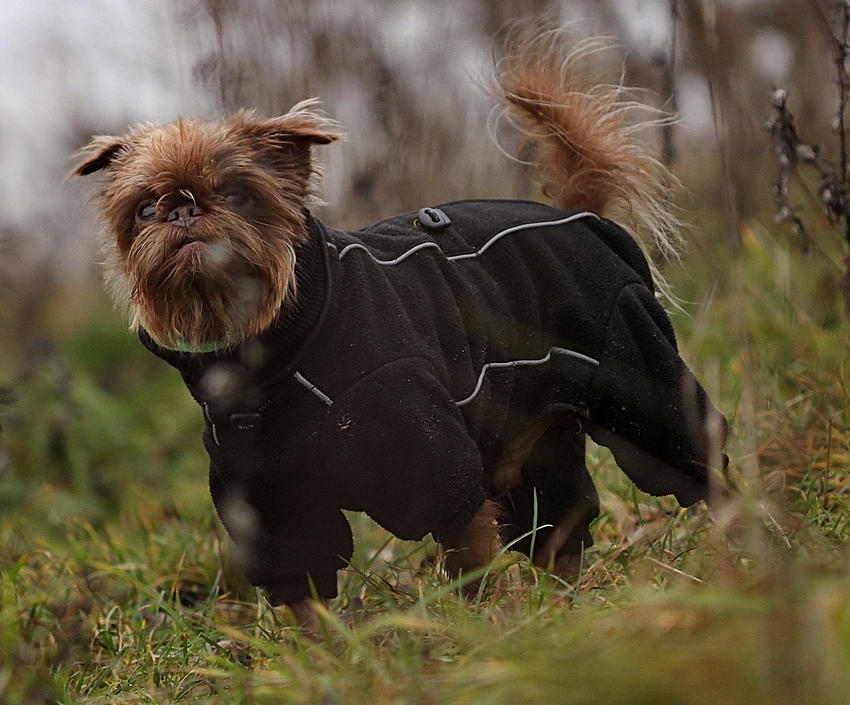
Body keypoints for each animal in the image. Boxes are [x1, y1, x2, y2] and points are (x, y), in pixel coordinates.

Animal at [69, 31, 724, 628]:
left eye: (235, 194)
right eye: (144, 211)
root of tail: (578, 212)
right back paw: (564, 610)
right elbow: (306, 595)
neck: (272, 352)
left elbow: (466, 560)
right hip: (532, 441)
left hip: (641, 393)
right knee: (559, 528)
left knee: (696, 465)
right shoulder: (276, 508)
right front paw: (327, 662)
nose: (183, 209)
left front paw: (473, 633)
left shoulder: (438, 470)